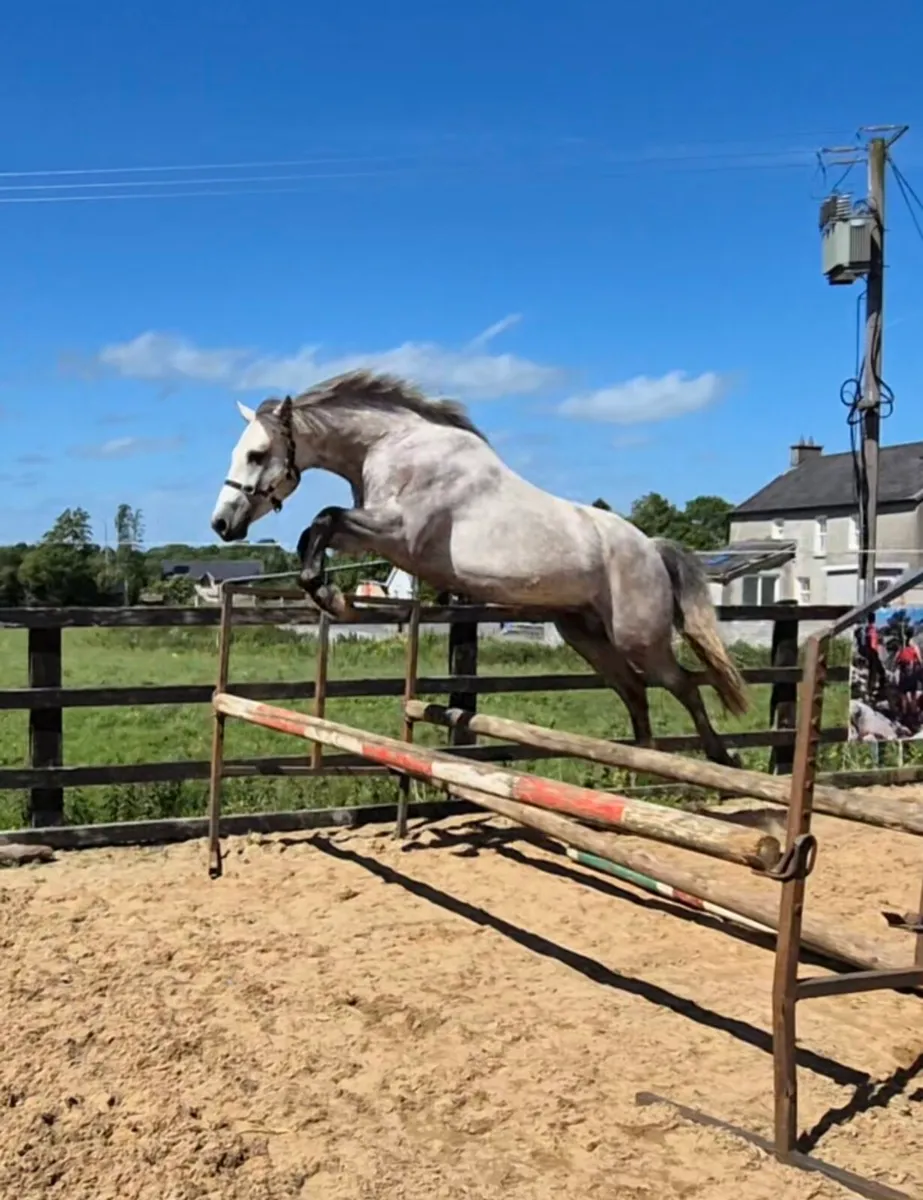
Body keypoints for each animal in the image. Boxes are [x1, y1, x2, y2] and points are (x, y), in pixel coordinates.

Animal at [209, 369, 748, 767]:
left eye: (258, 454)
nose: (222, 523)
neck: (394, 444)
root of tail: (650, 548)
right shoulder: (378, 533)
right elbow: (315, 533)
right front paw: (327, 593)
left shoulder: (400, 534)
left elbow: (323, 520)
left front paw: (334, 600)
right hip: (584, 632)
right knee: (635, 691)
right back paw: (641, 761)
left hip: (639, 637)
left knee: (684, 684)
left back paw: (721, 759)